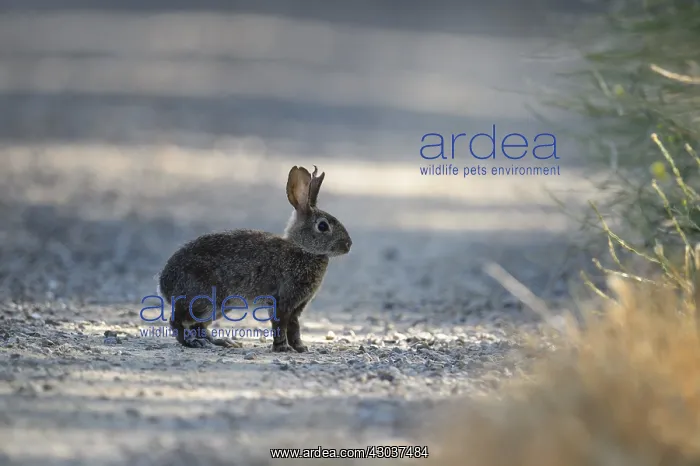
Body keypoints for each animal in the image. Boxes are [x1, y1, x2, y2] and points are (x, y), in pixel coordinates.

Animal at [158, 165, 352, 352]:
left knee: (199, 326)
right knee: (177, 320)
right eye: (322, 226)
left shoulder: (297, 307)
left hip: (222, 306)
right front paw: (283, 348)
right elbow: (281, 324)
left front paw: (300, 348)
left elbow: (294, 327)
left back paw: (221, 342)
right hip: (206, 300)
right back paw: (193, 343)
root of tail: (164, 285)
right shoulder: (282, 300)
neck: (302, 249)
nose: (348, 245)